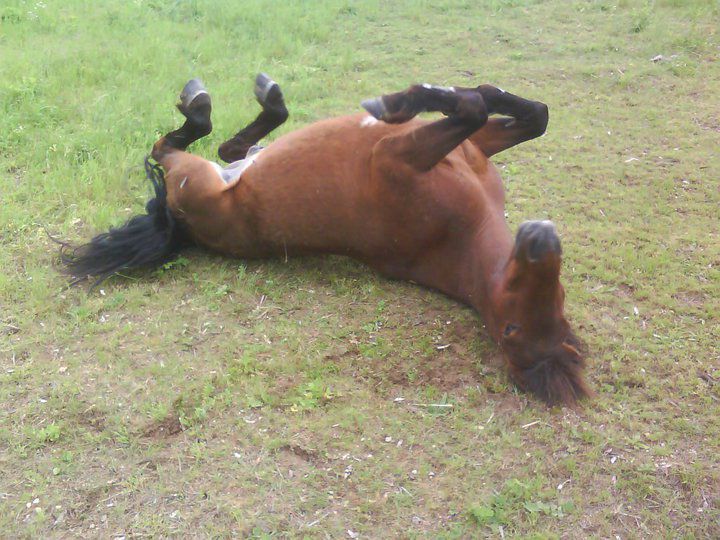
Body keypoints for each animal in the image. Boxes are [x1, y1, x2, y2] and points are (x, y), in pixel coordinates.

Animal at [61, 74, 590, 406]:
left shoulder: (395, 153)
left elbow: (475, 108)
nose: (542, 241)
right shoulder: (470, 147)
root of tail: (182, 227)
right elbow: (525, 113)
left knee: (175, 144)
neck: (456, 234)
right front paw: (458, 91)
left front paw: (397, 102)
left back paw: (210, 104)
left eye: (512, 329)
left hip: (196, 179)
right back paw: (263, 100)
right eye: (561, 295)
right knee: (227, 145)